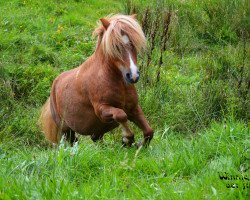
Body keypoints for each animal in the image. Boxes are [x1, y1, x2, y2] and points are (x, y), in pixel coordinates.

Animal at [39, 13, 153, 145]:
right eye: (115, 46)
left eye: (133, 44)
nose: (133, 76)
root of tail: (55, 83)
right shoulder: (102, 111)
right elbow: (121, 115)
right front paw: (127, 138)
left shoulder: (134, 109)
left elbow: (149, 132)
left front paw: (136, 144)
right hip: (66, 130)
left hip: (96, 132)